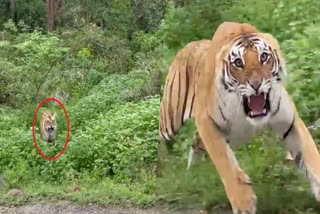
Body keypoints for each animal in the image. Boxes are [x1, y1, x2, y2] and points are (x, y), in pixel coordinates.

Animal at [158, 21, 320, 212]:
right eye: (238, 63)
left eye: (264, 57)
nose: (256, 84)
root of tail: (187, 46)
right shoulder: (206, 122)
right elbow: (226, 165)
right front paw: (244, 203)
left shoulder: (290, 123)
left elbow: (311, 156)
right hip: (170, 118)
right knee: (161, 139)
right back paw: (163, 171)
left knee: (195, 142)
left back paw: (192, 171)